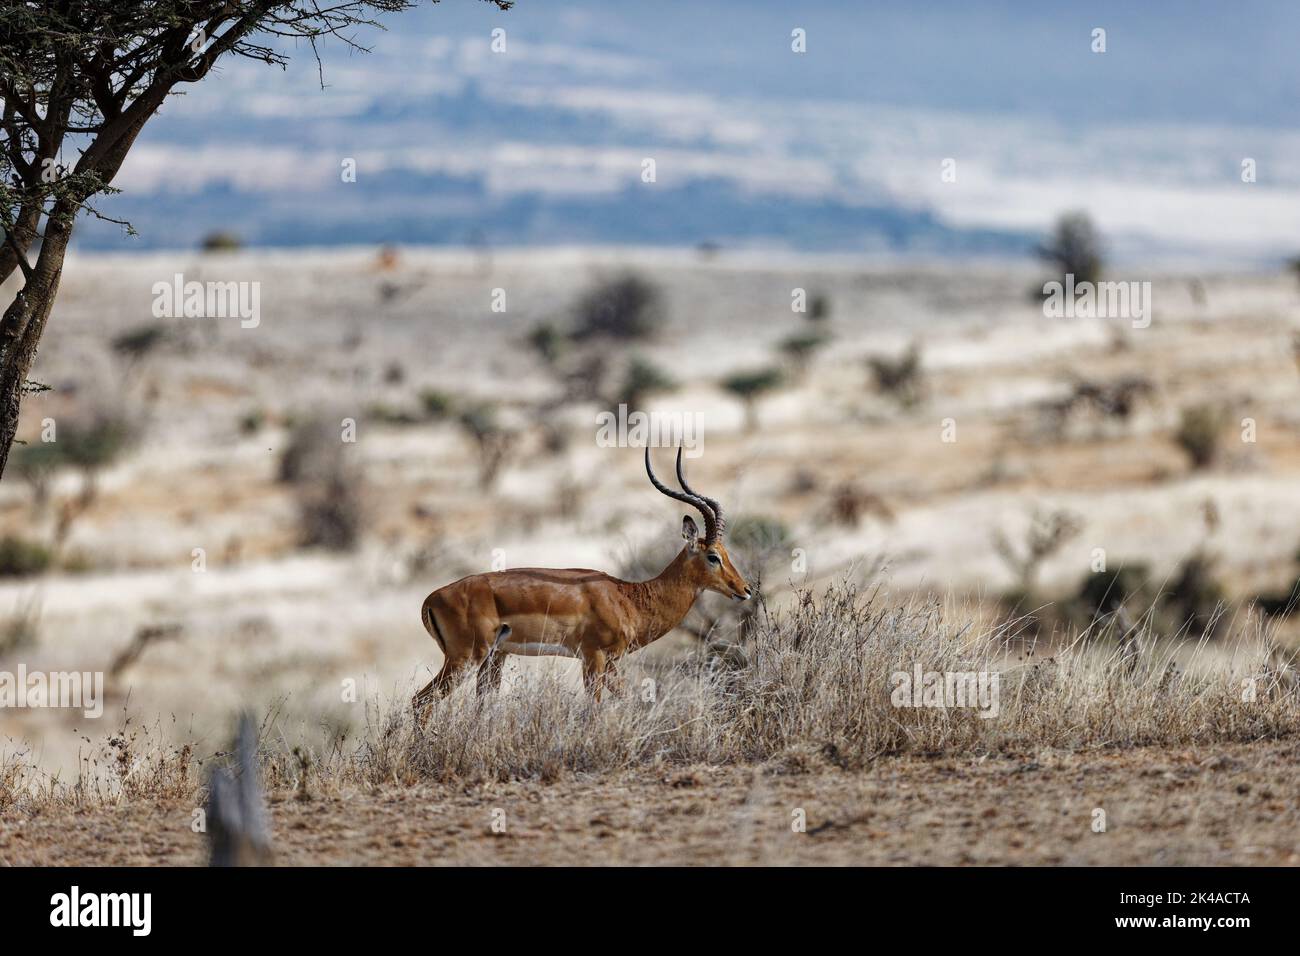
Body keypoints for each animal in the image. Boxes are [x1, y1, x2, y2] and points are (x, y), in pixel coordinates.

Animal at [412, 446, 752, 710]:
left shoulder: (610, 663)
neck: (628, 598)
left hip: (492, 659)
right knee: (420, 701)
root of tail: (431, 598)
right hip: (465, 658)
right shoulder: (594, 658)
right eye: (713, 556)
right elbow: (594, 709)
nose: (746, 589)